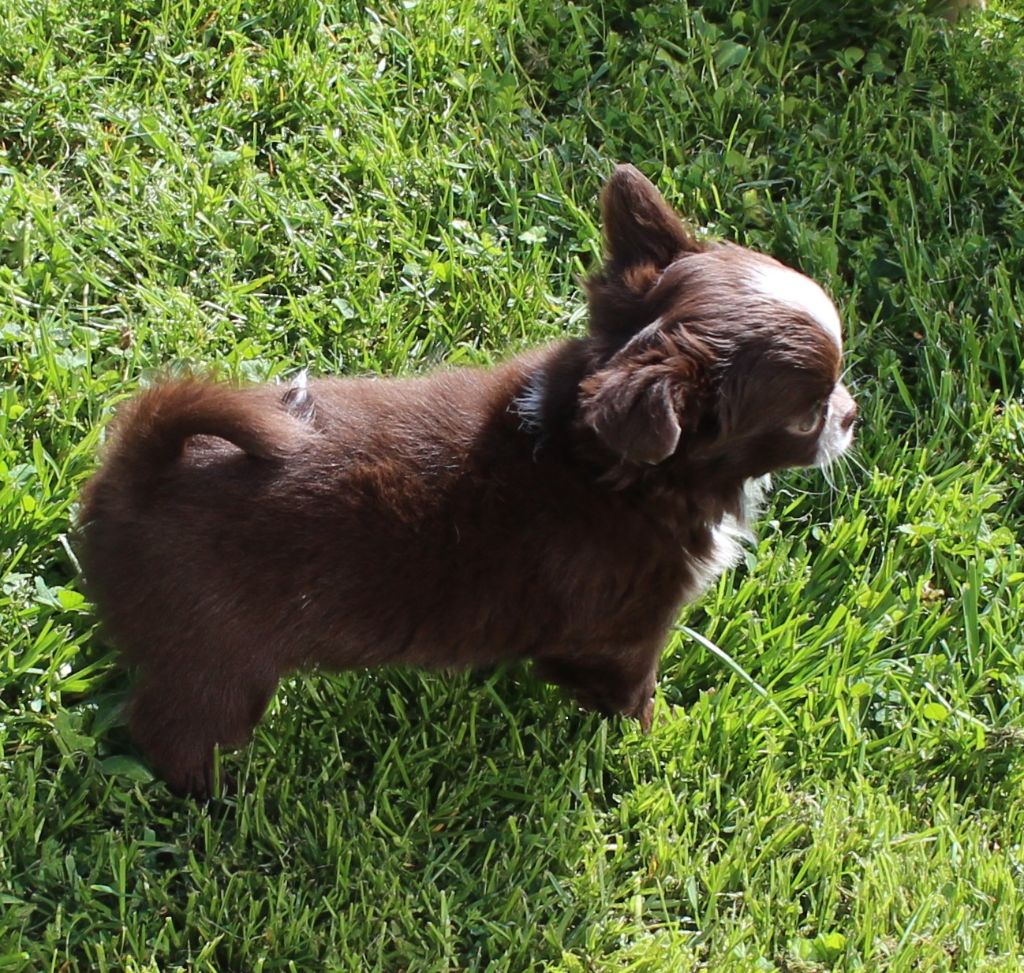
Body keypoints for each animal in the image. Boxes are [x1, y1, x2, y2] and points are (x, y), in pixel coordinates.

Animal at [77, 163, 856, 794]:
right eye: (806, 415)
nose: (852, 415)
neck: (594, 455)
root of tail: (145, 466)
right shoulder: (628, 630)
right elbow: (633, 691)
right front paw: (658, 742)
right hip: (219, 660)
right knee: (177, 732)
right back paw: (218, 796)